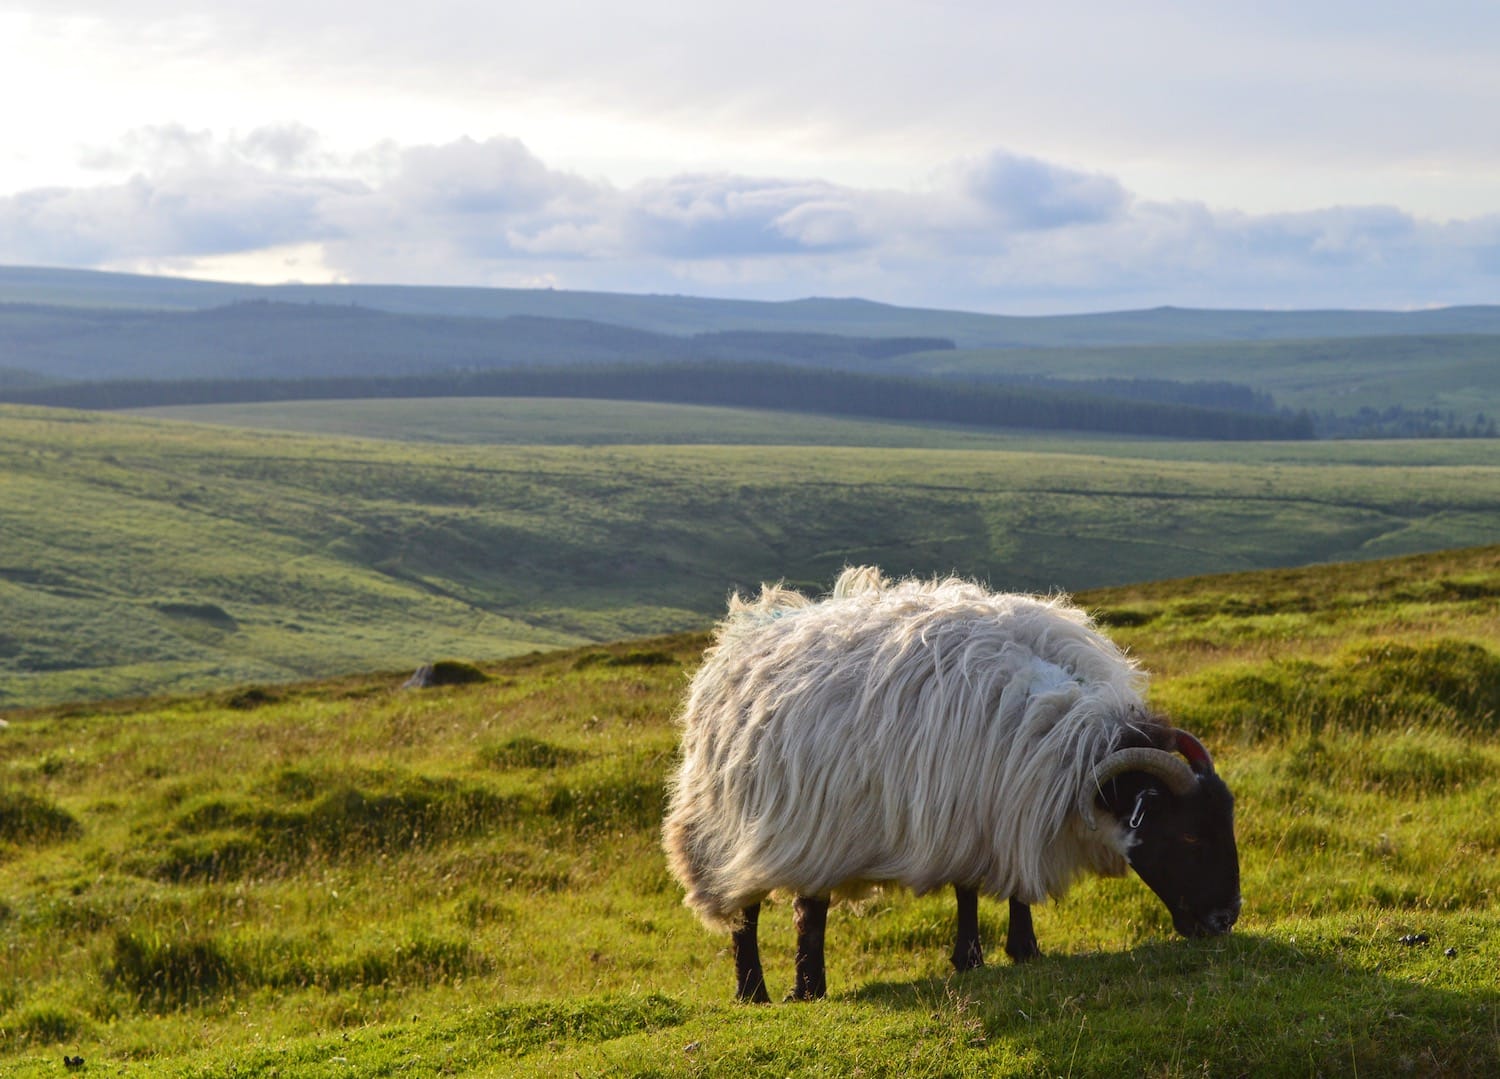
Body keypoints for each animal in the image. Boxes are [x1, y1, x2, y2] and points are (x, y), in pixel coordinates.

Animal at [663, 570, 1236, 1002]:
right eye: (1187, 835)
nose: (1225, 920)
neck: (1065, 737)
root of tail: (741, 635)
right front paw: (984, 956)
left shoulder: (991, 807)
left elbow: (988, 888)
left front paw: (1006, 954)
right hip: (757, 825)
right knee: (760, 911)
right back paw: (770, 992)